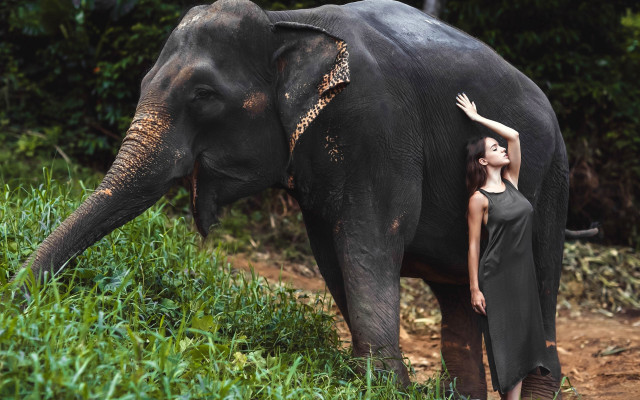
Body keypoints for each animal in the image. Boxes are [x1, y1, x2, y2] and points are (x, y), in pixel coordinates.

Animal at [19, 0, 568, 398]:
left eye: (203, 96)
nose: (21, 299)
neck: (288, 21)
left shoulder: (377, 129)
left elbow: (367, 243)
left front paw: (384, 386)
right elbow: (331, 253)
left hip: (551, 181)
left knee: (539, 282)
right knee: (458, 299)